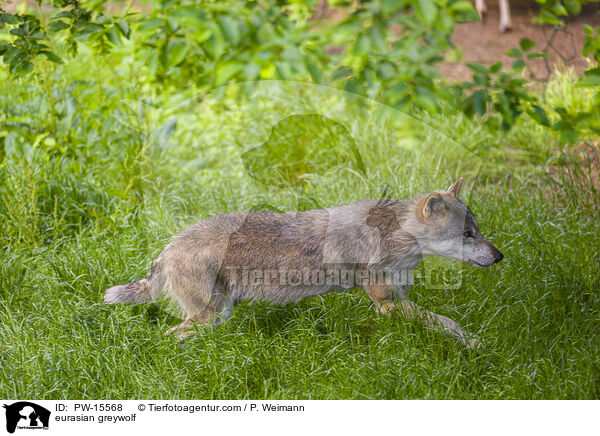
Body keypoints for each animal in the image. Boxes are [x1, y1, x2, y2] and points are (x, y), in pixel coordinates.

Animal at [105, 178, 504, 348]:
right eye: (467, 234)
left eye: (478, 231)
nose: (500, 256)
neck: (397, 237)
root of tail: (166, 249)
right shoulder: (387, 303)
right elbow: (449, 323)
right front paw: (477, 344)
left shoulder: (395, 297)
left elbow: (445, 322)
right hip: (213, 316)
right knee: (169, 336)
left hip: (217, 316)